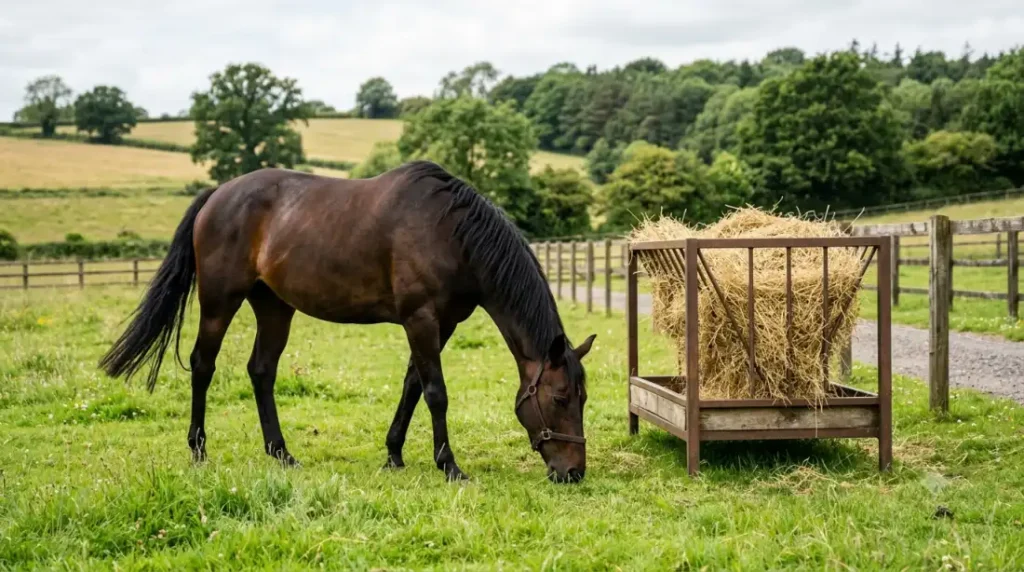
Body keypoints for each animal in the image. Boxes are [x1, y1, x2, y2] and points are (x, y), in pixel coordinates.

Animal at [99, 161, 596, 483]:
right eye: (559, 397)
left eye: (583, 397)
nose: (573, 472)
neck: (452, 234)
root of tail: (217, 195)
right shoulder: (421, 318)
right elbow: (435, 392)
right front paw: (449, 465)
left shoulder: (442, 324)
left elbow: (412, 385)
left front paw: (394, 454)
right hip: (221, 301)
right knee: (203, 365)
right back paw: (199, 449)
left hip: (274, 306)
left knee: (261, 371)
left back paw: (281, 453)